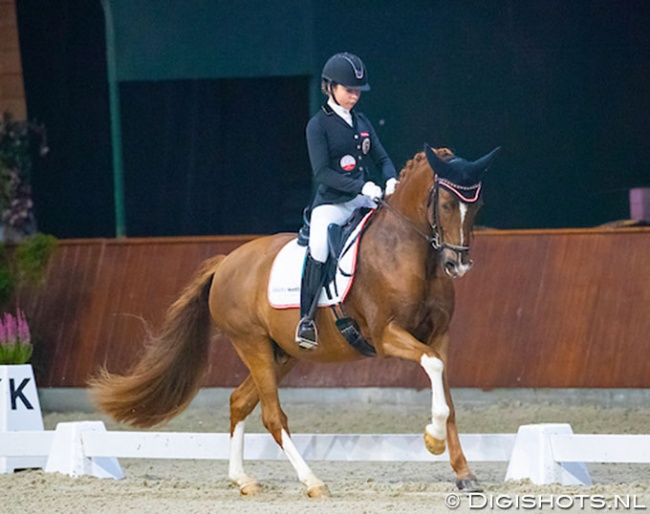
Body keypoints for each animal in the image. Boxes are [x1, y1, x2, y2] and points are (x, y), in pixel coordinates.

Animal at [88, 144, 498, 496]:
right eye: (445, 204)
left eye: (477, 207)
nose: (457, 264)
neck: (409, 253)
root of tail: (226, 263)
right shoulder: (387, 335)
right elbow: (433, 367)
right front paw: (432, 440)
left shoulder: (439, 335)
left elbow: (445, 389)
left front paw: (464, 473)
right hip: (252, 344)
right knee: (272, 416)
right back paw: (312, 482)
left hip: (283, 354)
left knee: (239, 401)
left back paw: (242, 480)